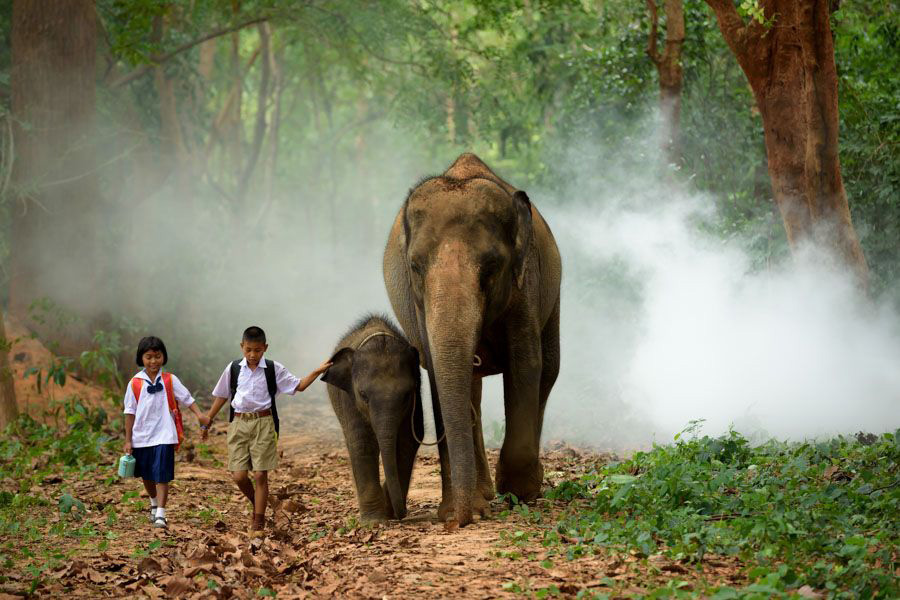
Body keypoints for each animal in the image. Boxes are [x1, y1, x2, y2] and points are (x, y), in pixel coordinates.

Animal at [321, 314, 424, 522]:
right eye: (363, 395)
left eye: (406, 395)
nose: (401, 514)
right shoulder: (349, 399)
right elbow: (362, 443)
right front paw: (374, 521)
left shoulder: (416, 399)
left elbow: (408, 441)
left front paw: (386, 511)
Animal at [383, 153, 561, 526]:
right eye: (415, 266)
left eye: (492, 267)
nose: (457, 522)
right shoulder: (419, 305)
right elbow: (438, 373)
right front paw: (459, 508)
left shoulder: (526, 283)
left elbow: (526, 364)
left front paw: (519, 493)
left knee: (549, 370)